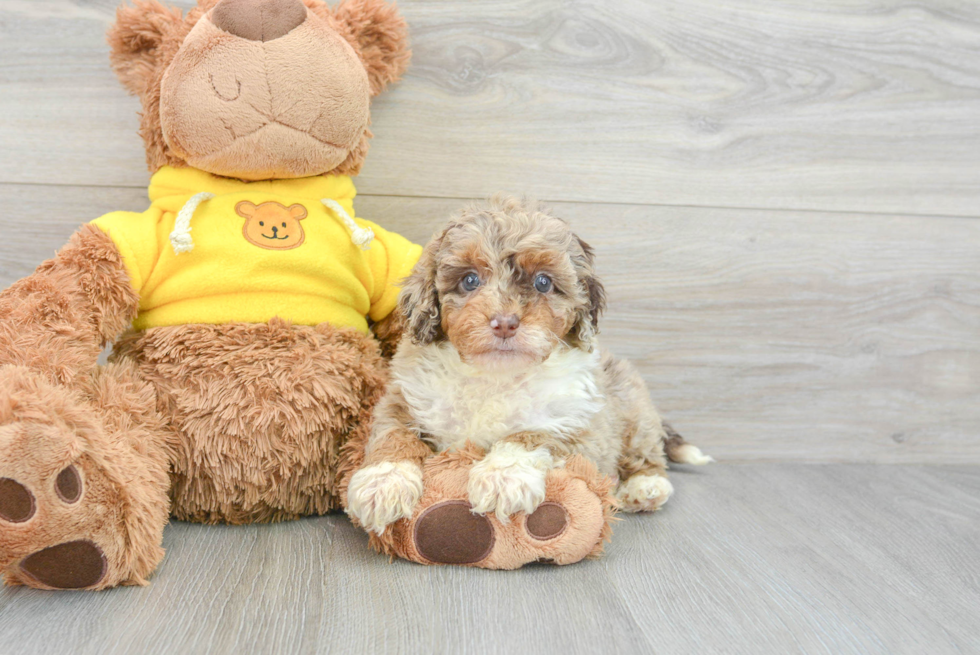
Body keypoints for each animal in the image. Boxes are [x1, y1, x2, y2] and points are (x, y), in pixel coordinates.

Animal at [348, 199, 708, 532]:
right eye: (469, 280)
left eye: (543, 283)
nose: (505, 323)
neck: (494, 374)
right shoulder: (403, 399)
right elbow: (394, 436)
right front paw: (382, 483)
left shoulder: (580, 425)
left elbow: (532, 434)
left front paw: (503, 477)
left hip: (633, 407)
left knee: (646, 451)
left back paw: (645, 487)